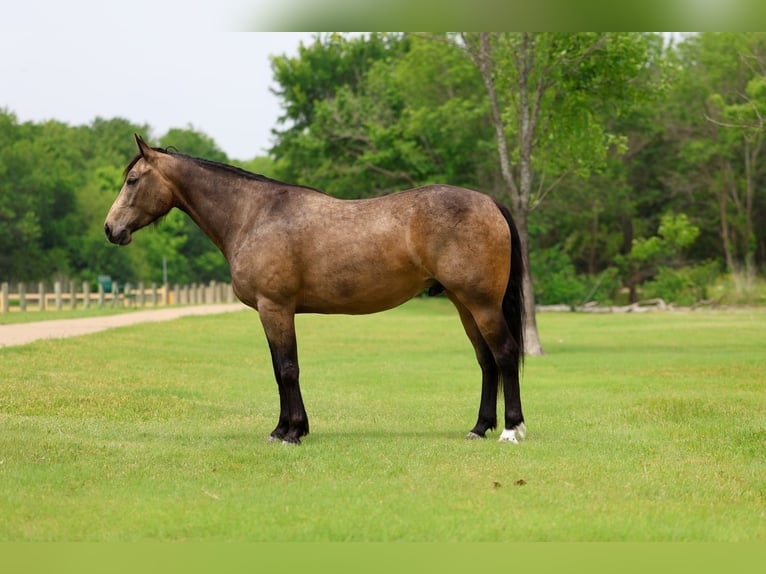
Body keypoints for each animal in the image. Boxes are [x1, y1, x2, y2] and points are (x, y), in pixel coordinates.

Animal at [105, 135, 527, 445]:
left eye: (132, 180)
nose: (111, 229)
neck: (254, 215)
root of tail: (489, 201)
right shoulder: (273, 312)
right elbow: (279, 370)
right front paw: (284, 428)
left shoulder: (275, 308)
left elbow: (287, 369)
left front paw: (291, 432)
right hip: (463, 304)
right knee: (486, 360)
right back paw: (479, 428)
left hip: (482, 304)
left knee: (504, 354)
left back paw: (510, 428)